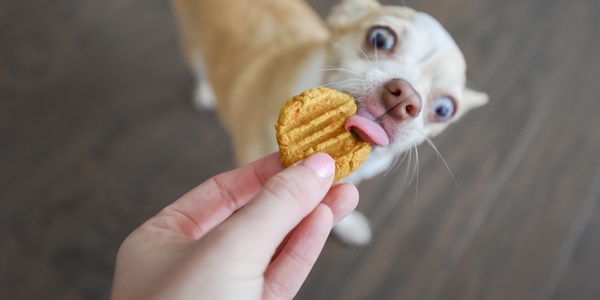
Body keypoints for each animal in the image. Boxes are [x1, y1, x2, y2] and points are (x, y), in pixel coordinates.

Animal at [172, 0, 488, 245]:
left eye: (444, 109)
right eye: (381, 39)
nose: (406, 97)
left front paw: (347, 225)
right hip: (190, 38)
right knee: (198, 63)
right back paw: (205, 91)